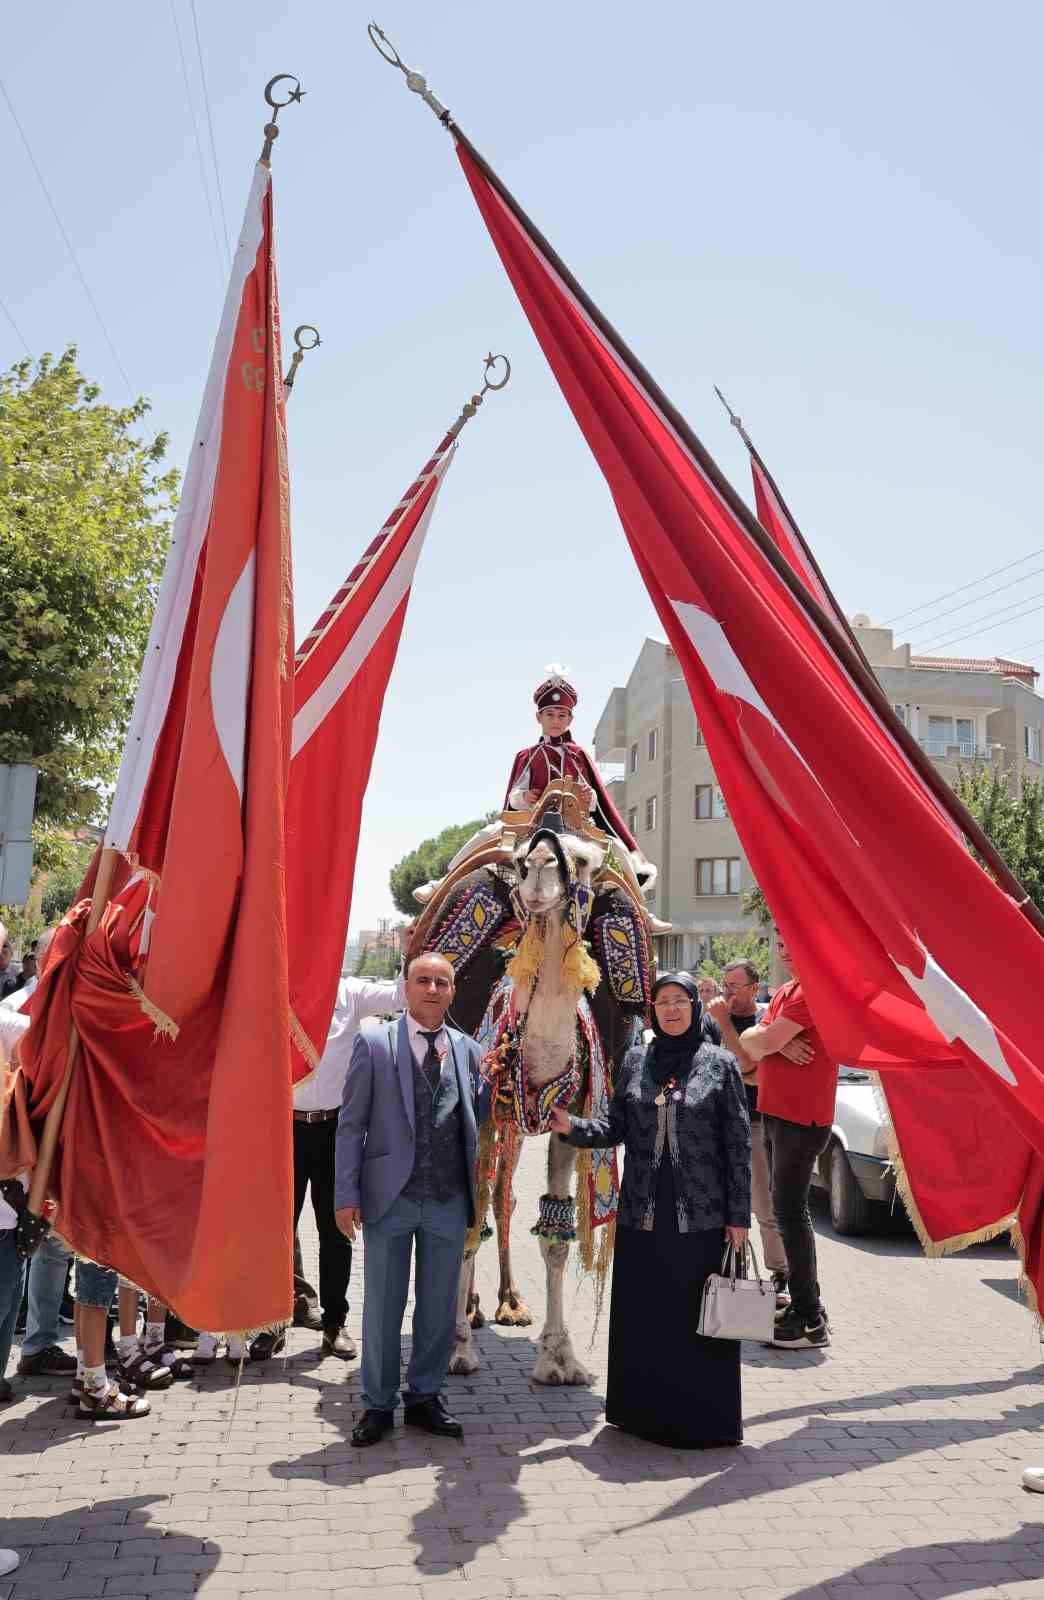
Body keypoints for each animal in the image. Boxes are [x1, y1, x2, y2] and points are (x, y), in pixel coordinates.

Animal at [405, 780, 653, 1382]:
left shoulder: (570, 1121)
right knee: (487, 1199)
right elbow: (465, 1216)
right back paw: (472, 1311)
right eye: (520, 861)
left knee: (504, 1197)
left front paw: (559, 1357)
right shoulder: (482, 1114)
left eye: (583, 860)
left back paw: (508, 1303)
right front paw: (456, 1348)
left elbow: (557, 1237)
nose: (540, 866)